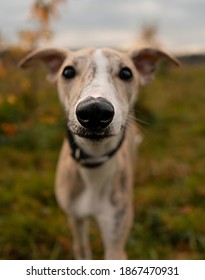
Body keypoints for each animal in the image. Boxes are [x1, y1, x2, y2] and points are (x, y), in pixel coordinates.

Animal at [19, 44, 179, 260]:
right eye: (67, 71)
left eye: (126, 73)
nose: (94, 111)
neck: (93, 165)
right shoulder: (75, 218)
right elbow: (81, 248)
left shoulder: (115, 235)